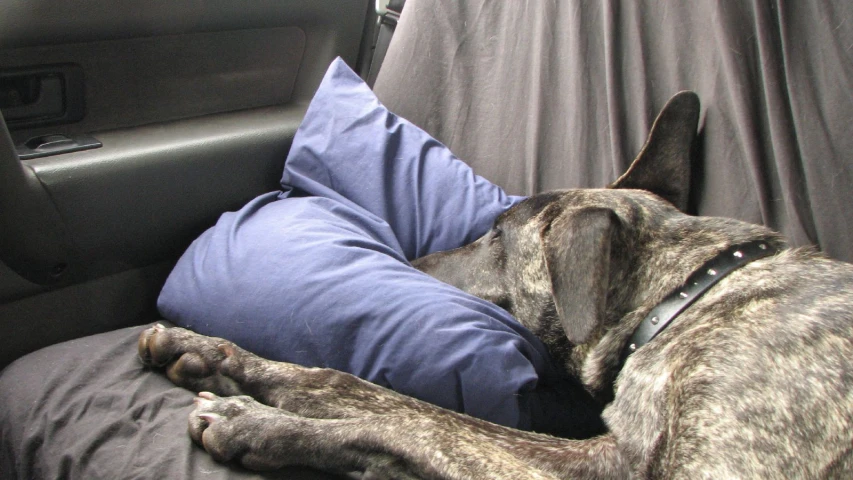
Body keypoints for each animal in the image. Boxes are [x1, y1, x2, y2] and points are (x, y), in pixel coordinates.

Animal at [138, 92, 852, 478]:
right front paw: (212, 353)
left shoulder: (609, 467)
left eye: (499, 234)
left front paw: (257, 422)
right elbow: (369, 393)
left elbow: (422, 429)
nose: (410, 261)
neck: (688, 296)